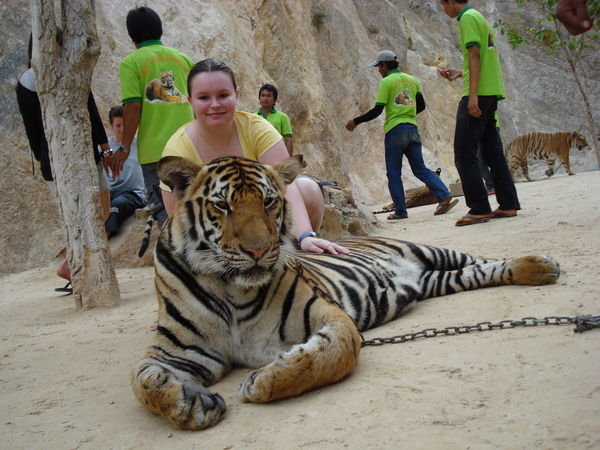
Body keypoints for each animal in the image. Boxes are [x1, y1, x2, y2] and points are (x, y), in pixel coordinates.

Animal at [132, 156, 564, 430]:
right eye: (222, 206)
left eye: (269, 202)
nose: (258, 250)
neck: (230, 288)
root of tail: (413, 274)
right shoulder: (178, 350)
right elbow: (143, 382)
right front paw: (188, 404)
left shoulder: (324, 313)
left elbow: (333, 353)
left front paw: (264, 382)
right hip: (438, 280)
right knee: (474, 272)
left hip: (434, 251)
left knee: (484, 259)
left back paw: (541, 265)